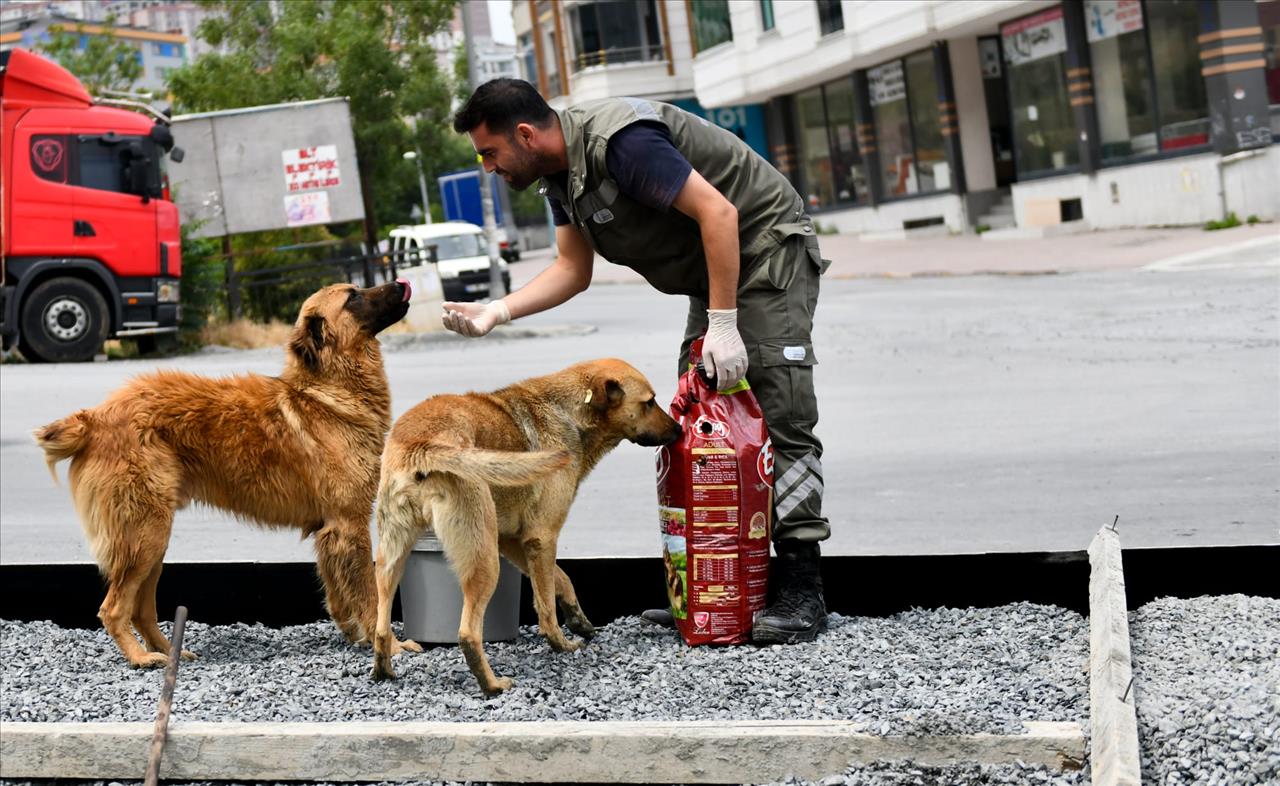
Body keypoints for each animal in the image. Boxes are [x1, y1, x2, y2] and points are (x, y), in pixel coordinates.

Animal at [36, 280, 419, 670]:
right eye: (352, 297)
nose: (401, 284)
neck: (326, 392)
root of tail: (95, 418)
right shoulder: (349, 525)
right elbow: (370, 594)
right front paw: (388, 644)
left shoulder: (332, 532)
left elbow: (339, 594)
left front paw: (354, 634)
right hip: (144, 536)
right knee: (113, 609)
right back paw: (141, 657)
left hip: (152, 539)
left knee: (141, 610)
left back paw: (169, 652)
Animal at [373, 358, 680, 696]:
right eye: (649, 402)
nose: (679, 430)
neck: (569, 412)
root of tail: (423, 444)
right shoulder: (542, 538)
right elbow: (546, 601)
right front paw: (561, 643)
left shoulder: (513, 541)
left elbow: (562, 578)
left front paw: (578, 619)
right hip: (484, 561)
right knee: (468, 633)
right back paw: (492, 685)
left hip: (392, 560)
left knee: (380, 625)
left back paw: (383, 670)